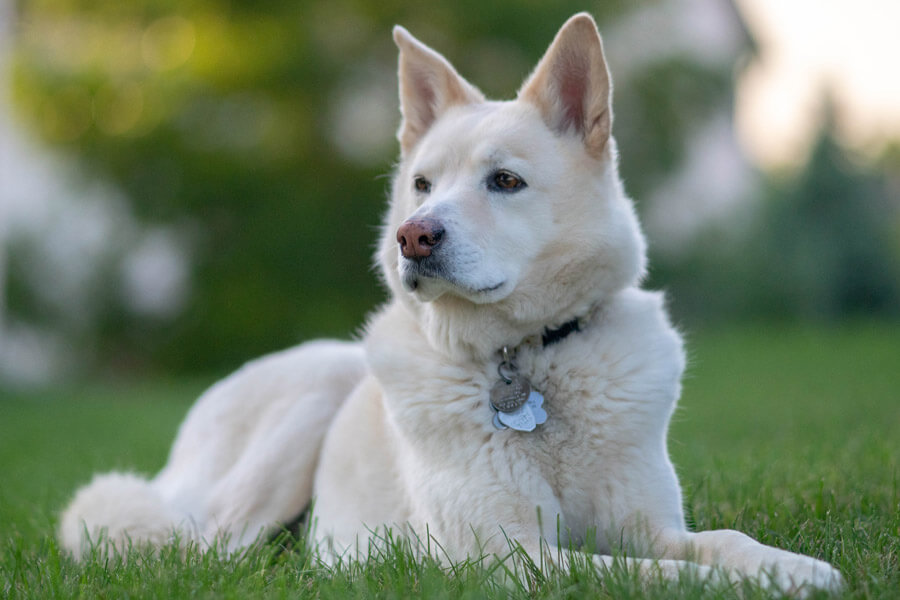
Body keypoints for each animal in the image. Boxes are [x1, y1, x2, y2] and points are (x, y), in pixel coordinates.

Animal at [61, 12, 844, 596]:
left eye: (506, 181)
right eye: (423, 185)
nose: (413, 237)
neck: (526, 359)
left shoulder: (647, 524)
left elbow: (720, 542)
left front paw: (792, 567)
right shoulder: (509, 557)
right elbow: (654, 576)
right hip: (306, 408)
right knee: (206, 553)